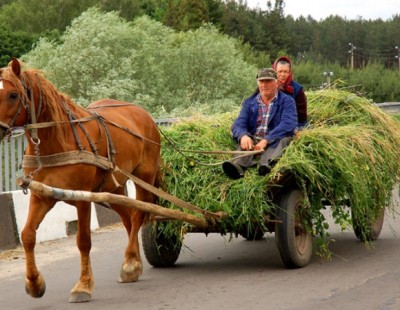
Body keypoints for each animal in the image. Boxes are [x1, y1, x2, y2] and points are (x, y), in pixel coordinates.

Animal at [0, 58, 162, 302]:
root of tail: (143, 114)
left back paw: (130, 264)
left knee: (138, 215)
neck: (58, 140)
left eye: (12, 94)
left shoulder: (83, 198)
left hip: (144, 178)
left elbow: (84, 240)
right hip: (111, 189)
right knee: (128, 218)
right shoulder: (41, 196)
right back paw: (132, 260)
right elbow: (27, 235)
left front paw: (83, 285)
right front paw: (34, 283)